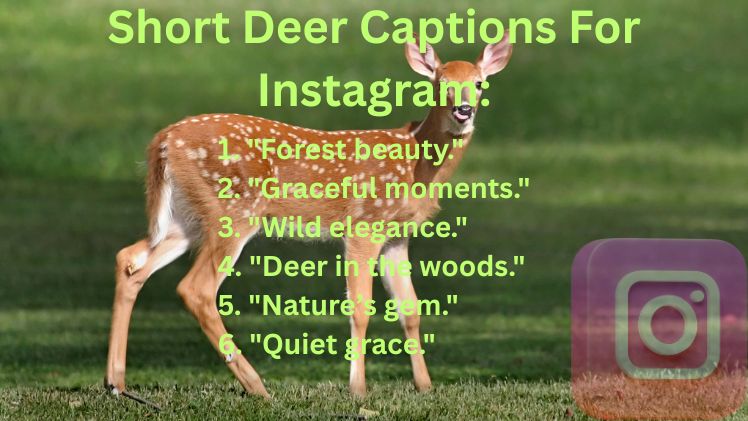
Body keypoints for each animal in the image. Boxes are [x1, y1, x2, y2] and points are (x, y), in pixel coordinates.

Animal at [105, 32, 513, 402]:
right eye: (441, 84)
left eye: (479, 83)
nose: (464, 111)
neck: (418, 161)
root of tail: (163, 140)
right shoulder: (364, 224)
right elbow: (360, 308)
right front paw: (358, 390)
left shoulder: (396, 236)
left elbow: (409, 309)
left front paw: (425, 386)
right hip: (234, 211)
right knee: (196, 289)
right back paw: (257, 387)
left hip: (187, 217)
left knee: (130, 260)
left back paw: (116, 383)